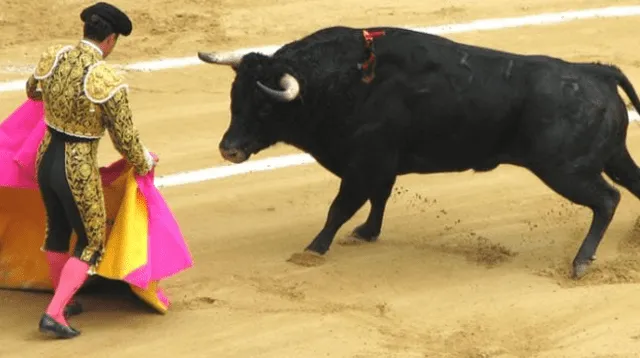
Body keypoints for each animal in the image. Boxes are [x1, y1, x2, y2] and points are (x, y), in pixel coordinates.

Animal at [196, 26, 640, 278]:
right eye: (235, 98)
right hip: (612, 157)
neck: (341, 81)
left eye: (265, 107)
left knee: (607, 199)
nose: (228, 149)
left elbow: (340, 208)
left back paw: (580, 263)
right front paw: (367, 233)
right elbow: (377, 199)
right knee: (631, 185)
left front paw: (312, 251)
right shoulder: (380, 166)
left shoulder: (364, 164)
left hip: (566, 169)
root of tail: (597, 71)